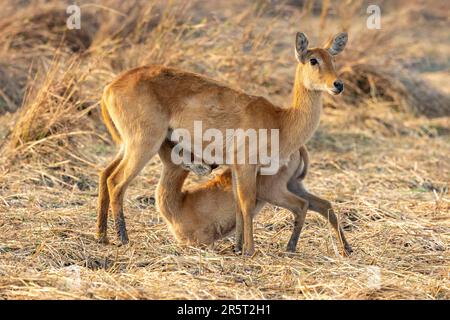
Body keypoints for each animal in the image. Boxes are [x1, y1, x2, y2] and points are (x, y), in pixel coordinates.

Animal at [156, 142, 354, 255]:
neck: (180, 203)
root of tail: (299, 147)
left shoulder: (203, 241)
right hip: (294, 185)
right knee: (324, 204)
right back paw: (347, 249)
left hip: (273, 192)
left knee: (301, 206)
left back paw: (289, 248)